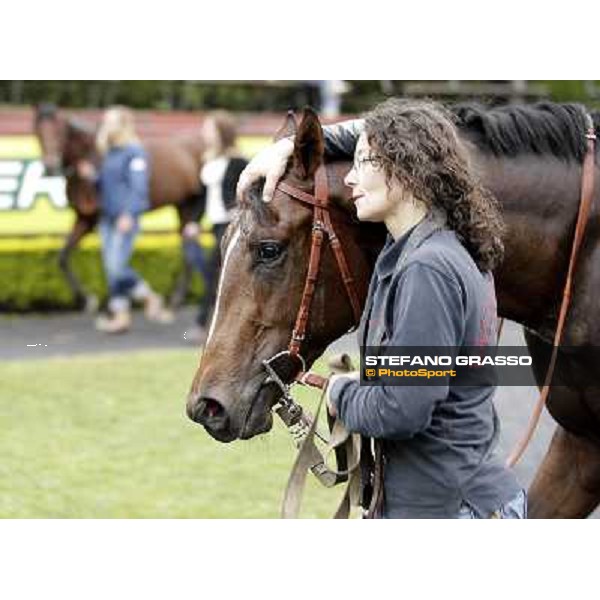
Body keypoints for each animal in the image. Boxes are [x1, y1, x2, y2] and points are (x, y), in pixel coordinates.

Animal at [34, 104, 205, 310]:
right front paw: (87, 299)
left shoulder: (98, 219)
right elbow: (63, 257)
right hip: (184, 206)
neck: (92, 156)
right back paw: (176, 296)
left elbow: (112, 262)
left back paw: (177, 297)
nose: (50, 167)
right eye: (37, 131)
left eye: (60, 131)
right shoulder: (84, 218)